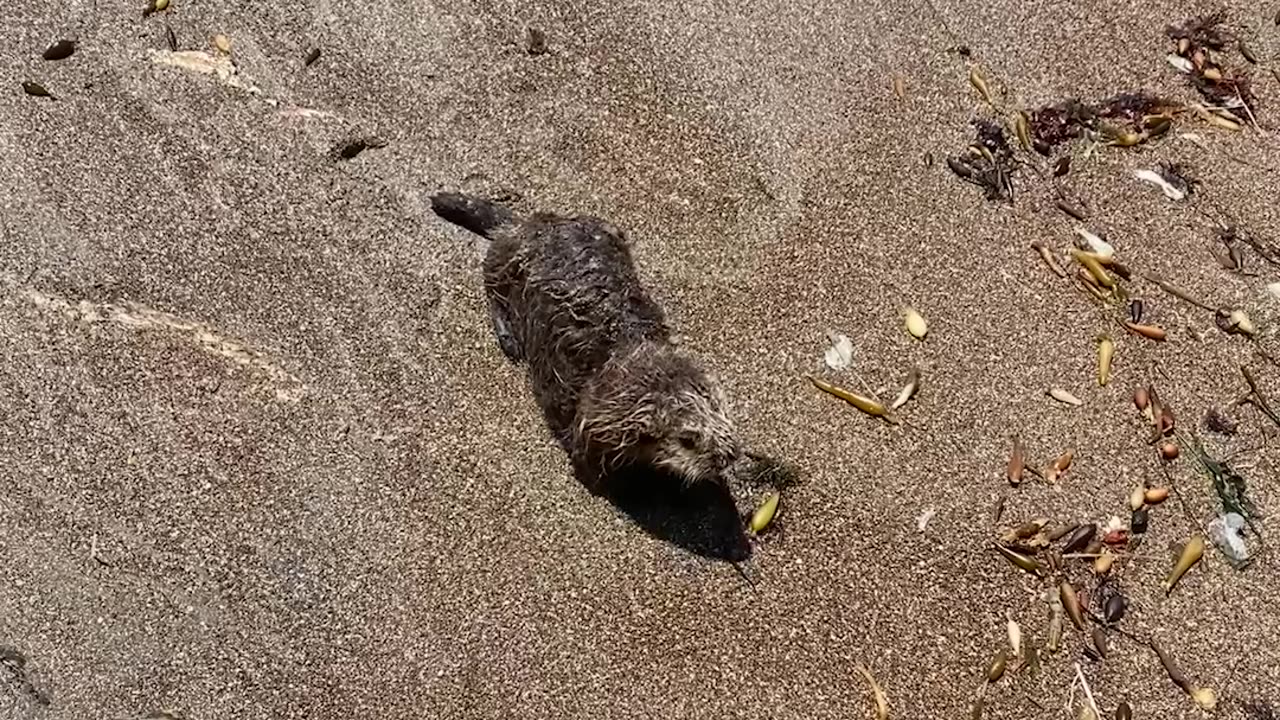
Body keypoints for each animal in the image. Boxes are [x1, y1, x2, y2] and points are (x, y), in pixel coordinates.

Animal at [429, 191, 740, 493]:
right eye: (688, 439)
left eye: (721, 409)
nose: (731, 453)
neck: (628, 349)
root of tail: (525, 224)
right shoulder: (589, 427)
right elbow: (593, 470)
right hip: (507, 263)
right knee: (492, 284)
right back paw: (509, 339)